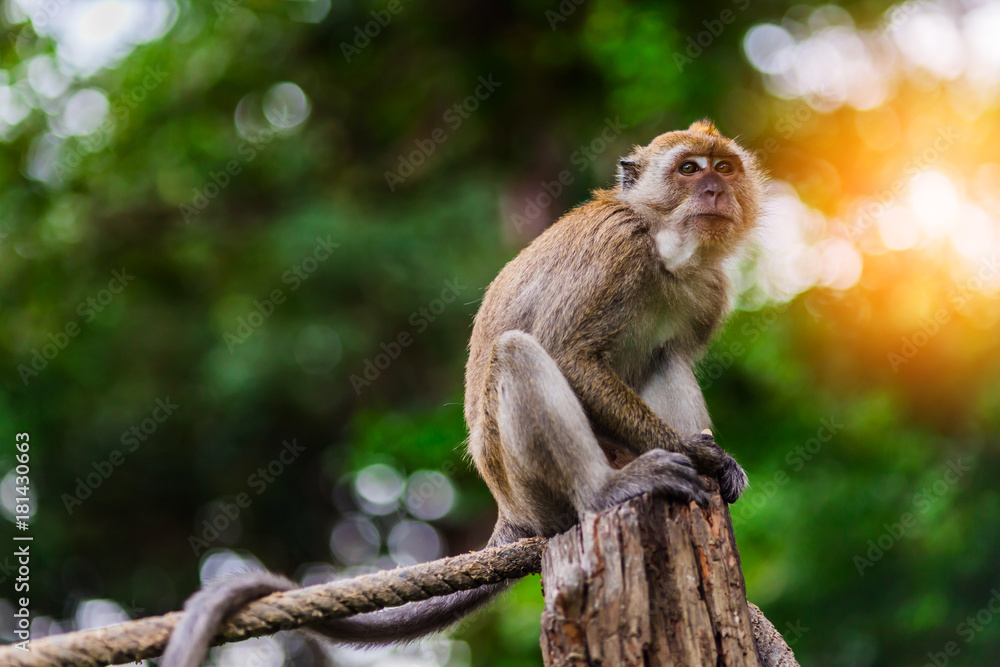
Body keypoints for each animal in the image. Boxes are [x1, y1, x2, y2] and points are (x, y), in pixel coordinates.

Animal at [160, 120, 760, 667]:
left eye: (723, 167)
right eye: (689, 169)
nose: (715, 189)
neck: (665, 248)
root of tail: (509, 510)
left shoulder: (710, 289)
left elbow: (665, 357)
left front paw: (718, 461)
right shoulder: (616, 250)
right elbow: (567, 352)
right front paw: (702, 454)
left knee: (665, 359)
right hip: (530, 485)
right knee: (518, 354)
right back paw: (607, 488)